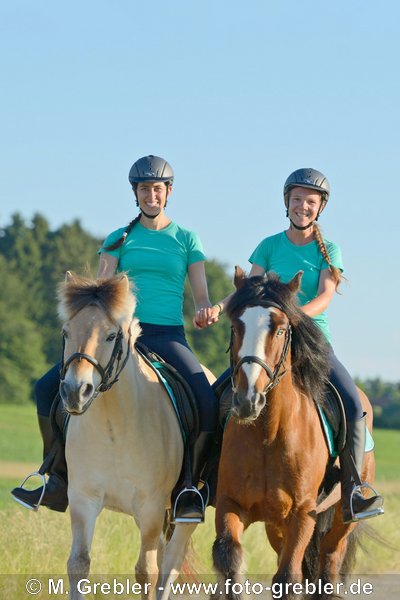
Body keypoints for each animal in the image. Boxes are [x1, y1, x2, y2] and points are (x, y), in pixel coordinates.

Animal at [56, 274, 200, 600]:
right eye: (66, 332)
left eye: (111, 336)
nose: (75, 391)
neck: (114, 428)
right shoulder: (83, 499)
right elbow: (78, 564)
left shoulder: (150, 506)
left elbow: (147, 572)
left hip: (180, 513)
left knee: (170, 564)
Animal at [214, 268, 376, 600]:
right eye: (235, 326)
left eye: (279, 330)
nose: (247, 400)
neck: (268, 435)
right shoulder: (230, 505)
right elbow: (230, 562)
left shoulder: (302, 515)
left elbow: (288, 578)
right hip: (276, 525)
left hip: (341, 519)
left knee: (329, 561)